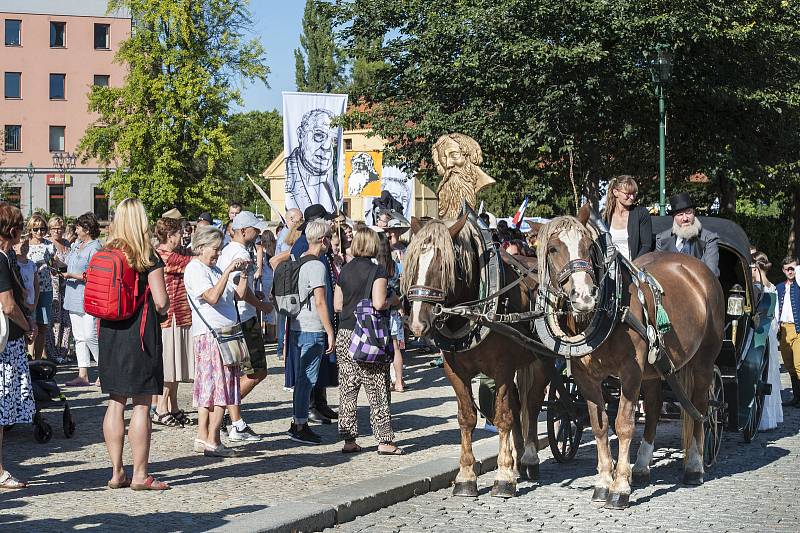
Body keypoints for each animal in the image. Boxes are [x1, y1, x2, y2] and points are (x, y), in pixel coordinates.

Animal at [406, 214, 552, 496]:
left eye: (443, 267)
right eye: (414, 263)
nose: (417, 324)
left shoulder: (502, 369)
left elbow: (503, 417)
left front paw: (504, 476)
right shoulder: (455, 371)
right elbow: (467, 418)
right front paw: (466, 476)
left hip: (542, 361)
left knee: (531, 404)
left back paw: (528, 458)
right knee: (519, 405)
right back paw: (519, 459)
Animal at [536, 208, 724, 508]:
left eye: (588, 247)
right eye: (553, 249)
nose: (585, 297)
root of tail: (697, 270)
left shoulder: (630, 372)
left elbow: (624, 425)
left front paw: (620, 488)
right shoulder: (586, 379)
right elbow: (600, 426)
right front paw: (603, 482)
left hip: (704, 363)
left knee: (700, 408)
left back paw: (694, 466)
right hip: (655, 368)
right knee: (656, 408)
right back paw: (643, 467)